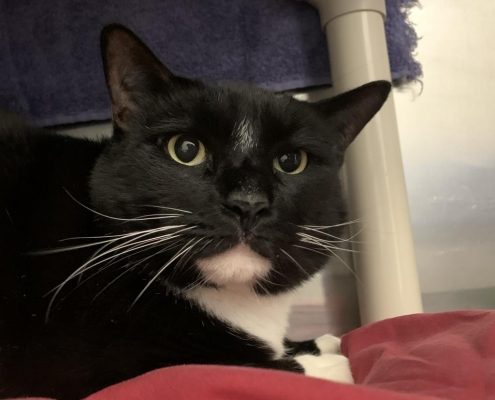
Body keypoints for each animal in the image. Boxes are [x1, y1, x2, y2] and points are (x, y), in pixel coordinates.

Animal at [0, 25, 392, 400]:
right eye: (186, 149)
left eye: (292, 161)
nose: (248, 202)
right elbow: (227, 366)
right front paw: (324, 362)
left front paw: (317, 343)